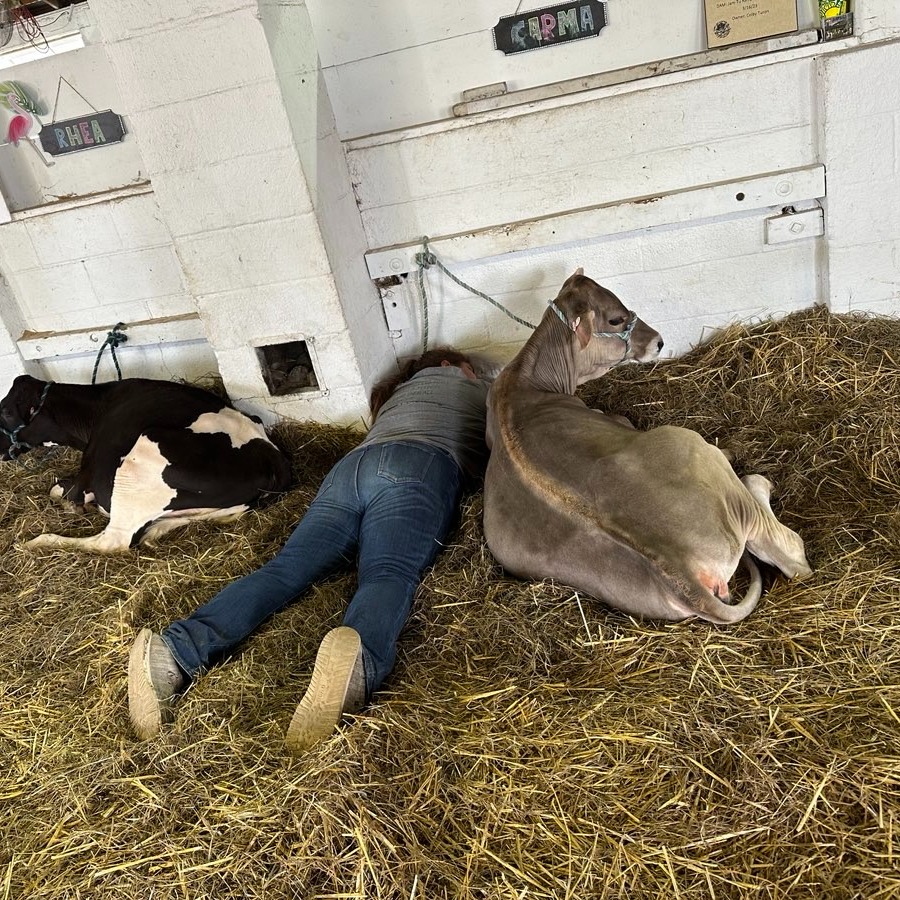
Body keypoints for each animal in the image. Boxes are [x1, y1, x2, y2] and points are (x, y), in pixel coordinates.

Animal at [0, 376, 292, 552]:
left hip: (142, 457)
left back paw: (35, 542)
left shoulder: (86, 477)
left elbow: (58, 490)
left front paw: (71, 507)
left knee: (113, 541)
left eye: (5, 412)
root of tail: (274, 463)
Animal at [488, 268, 812, 624]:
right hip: (692, 448)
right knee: (789, 550)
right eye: (616, 319)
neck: (524, 382)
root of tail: (680, 569)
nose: (659, 340)